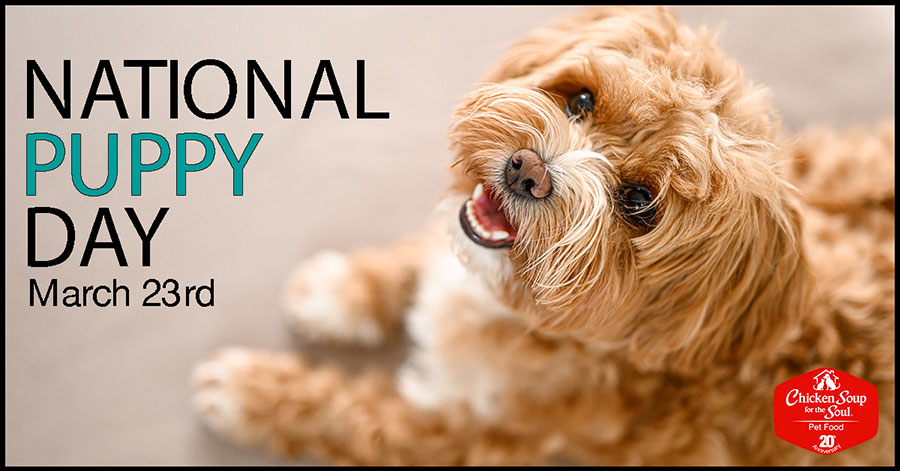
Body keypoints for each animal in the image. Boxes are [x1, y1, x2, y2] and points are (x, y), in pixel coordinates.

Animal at [190, 7, 892, 468]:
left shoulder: (466, 438)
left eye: (639, 203)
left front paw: (254, 393)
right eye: (580, 99)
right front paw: (344, 291)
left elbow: (352, 414)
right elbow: (422, 253)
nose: (527, 171)